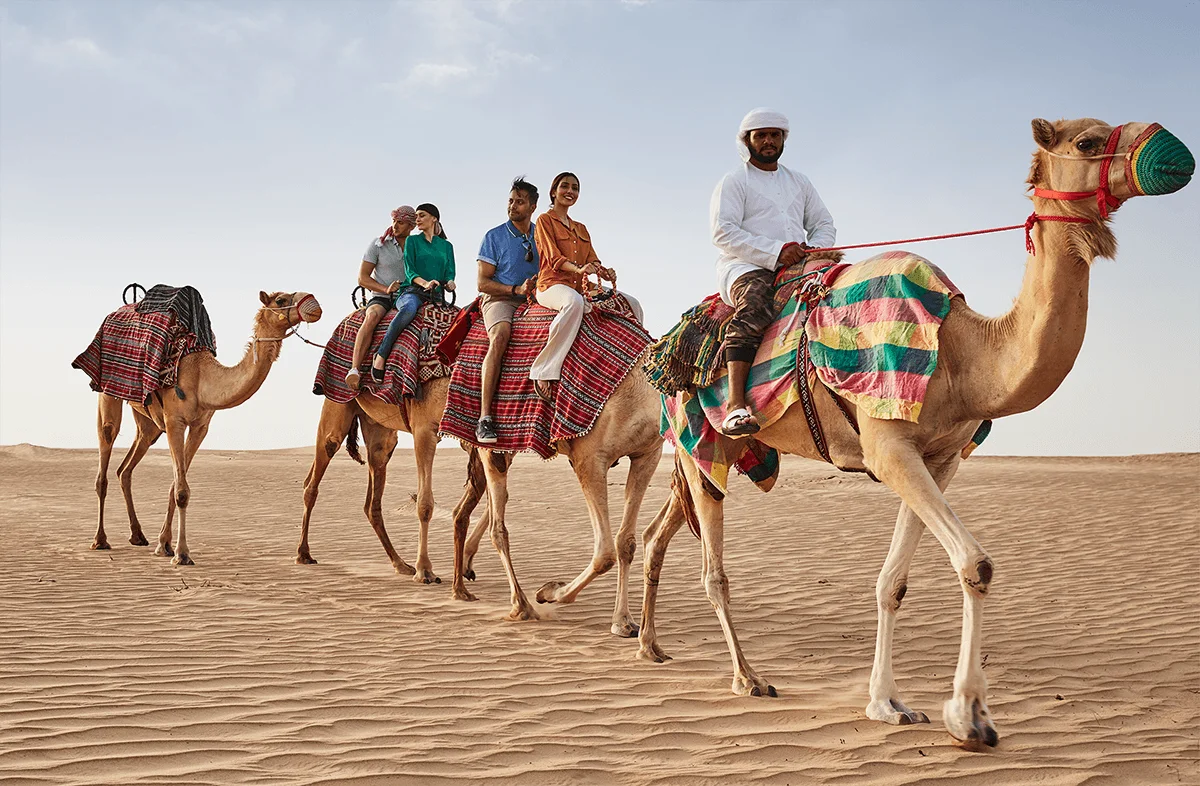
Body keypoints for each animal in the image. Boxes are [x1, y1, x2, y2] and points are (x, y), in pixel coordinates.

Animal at [93, 290, 323, 565]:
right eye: (280, 300)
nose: (314, 305)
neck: (202, 377)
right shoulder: (174, 421)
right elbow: (181, 490)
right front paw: (181, 554)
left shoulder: (200, 426)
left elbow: (175, 486)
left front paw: (164, 545)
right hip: (108, 393)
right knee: (105, 452)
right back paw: (100, 540)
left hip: (148, 423)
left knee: (125, 469)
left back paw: (137, 536)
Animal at [296, 378, 449, 585]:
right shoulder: (423, 428)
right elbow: (425, 504)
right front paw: (425, 571)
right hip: (337, 405)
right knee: (320, 465)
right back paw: (303, 554)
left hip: (378, 431)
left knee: (371, 502)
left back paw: (400, 564)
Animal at [449, 360, 664, 637]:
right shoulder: (589, 459)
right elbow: (604, 554)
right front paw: (549, 592)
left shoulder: (647, 454)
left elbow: (625, 543)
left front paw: (623, 621)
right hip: (491, 444)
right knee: (497, 526)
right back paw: (521, 606)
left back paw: (466, 571)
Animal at [635, 118, 1193, 751]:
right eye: (1087, 142)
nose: (1174, 150)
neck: (962, 352)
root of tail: (665, 352)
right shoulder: (889, 447)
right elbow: (976, 564)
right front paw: (970, 716)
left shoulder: (939, 457)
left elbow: (894, 582)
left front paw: (889, 702)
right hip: (699, 437)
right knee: (714, 572)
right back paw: (747, 677)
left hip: (707, 456)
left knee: (660, 534)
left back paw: (650, 645)